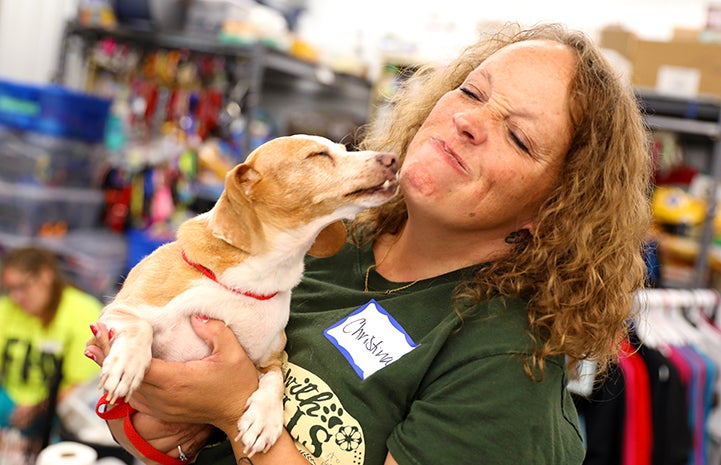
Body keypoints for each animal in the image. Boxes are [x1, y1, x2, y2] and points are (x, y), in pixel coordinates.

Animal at [93, 134, 396, 456]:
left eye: (344, 149)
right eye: (317, 155)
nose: (392, 160)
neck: (257, 279)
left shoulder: (272, 357)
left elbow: (276, 380)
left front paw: (264, 418)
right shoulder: (118, 310)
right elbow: (140, 327)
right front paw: (127, 365)